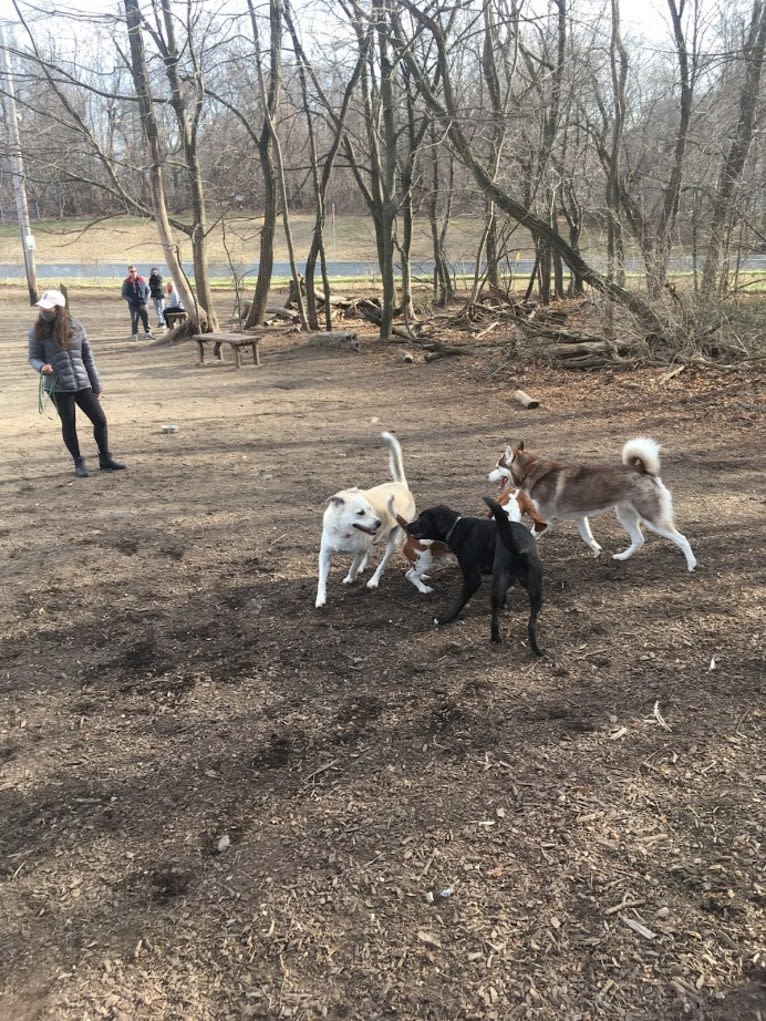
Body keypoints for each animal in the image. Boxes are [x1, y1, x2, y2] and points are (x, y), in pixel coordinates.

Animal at [314, 430, 416, 604]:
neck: (343, 531)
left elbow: (353, 566)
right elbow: (322, 579)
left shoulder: (359, 551)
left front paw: (350, 578)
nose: (379, 522)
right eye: (360, 512)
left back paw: (373, 580)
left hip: (394, 540)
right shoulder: (325, 554)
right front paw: (320, 599)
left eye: (370, 509)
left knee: (382, 563)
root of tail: (401, 485)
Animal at [408, 500, 547, 657]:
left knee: (494, 619)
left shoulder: (472, 579)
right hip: (536, 590)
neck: (455, 526)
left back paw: (495, 637)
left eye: (421, 519)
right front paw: (505, 604)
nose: (407, 526)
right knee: (532, 624)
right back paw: (536, 650)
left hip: (497, 587)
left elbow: (459, 601)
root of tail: (520, 546)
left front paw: (444, 618)